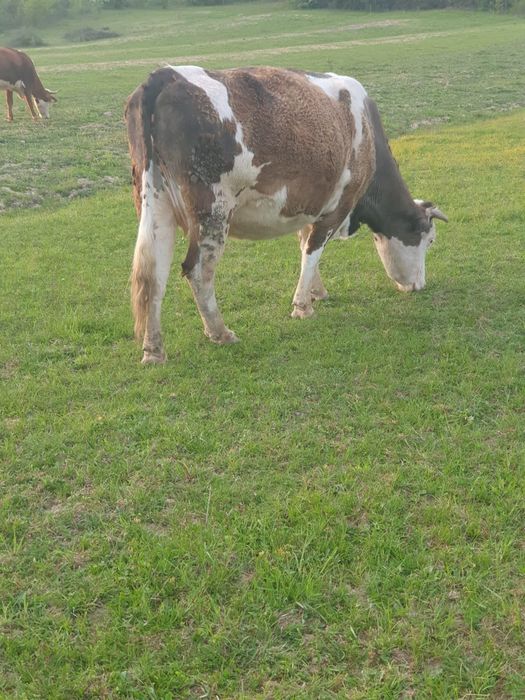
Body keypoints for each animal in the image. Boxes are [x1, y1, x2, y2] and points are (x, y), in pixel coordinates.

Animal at [126, 66, 447, 363]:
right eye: (429, 241)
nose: (419, 286)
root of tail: (168, 74)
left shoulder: (307, 205)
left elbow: (304, 245)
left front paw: (317, 292)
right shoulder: (337, 207)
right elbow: (313, 251)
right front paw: (303, 306)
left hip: (156, 203)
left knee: (152, 274)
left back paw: (154, 350)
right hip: (212, 211)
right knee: (197, 271)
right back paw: (220, 332)